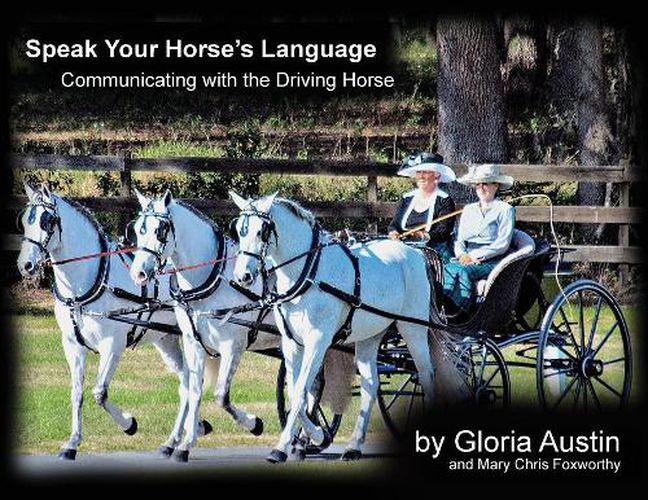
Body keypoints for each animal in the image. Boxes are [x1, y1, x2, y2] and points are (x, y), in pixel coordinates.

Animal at [16, 185, 213, 460]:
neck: (89, 283)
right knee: (186, 382)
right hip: (167, 340)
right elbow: (76, 392)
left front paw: (129, 423)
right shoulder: (72, 345)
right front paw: (71, 443)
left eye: (47, 222)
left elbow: (99, 392)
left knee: (191, 382)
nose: (25, 264)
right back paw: (176, 438)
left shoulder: (112, 345)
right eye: (25, 220)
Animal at [230, 192, 438, 460]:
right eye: (239, 230)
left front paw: (290, 444)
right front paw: (313, 436)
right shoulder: (291, 343)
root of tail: (416, 253)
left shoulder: (317, 341)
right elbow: (297, 391)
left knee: (425, 374)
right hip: (370, 335)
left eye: (261, 232)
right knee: (371, 385)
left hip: (413, 328)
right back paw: (353, 446)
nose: (242, 276)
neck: (307, 274)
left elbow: (301, 391)